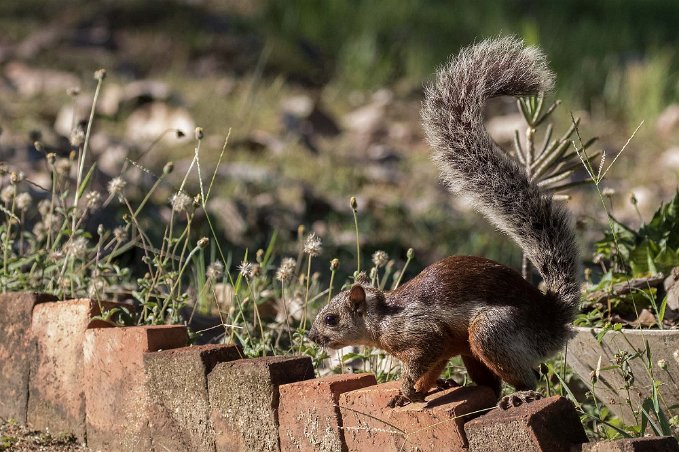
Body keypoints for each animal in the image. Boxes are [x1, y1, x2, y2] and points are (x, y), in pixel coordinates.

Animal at [308, 37, 580, 408]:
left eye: (331, 319)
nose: (312, 337)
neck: (383, 317)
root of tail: (553, 321)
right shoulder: (437, 350)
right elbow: (430, 369)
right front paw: (427, 388)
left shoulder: (423, 334)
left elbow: (423, 358)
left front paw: (404, 393)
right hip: (472, 351)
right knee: (490, 383)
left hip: (490, 332)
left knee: (529, 376)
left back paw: (522, 394)